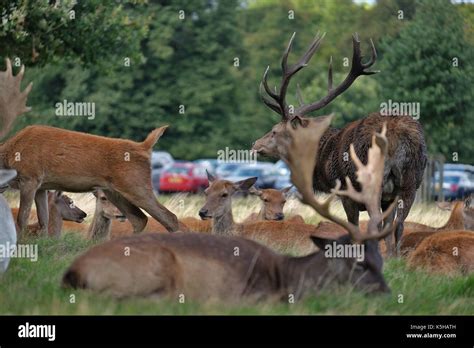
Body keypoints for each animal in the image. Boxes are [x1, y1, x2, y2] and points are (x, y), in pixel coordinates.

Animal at [0, 58, 181, 237]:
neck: (10, 154)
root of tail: (145, 146)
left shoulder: (30, 177)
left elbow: (21, 220)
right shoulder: (42, 186)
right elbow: (43, 222)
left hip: (136, 184)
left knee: (170, 218)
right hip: (114, 191)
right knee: (139, 219)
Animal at [252, 32, 426, 256]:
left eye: (275, 130)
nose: (255, 144)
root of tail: (398, 138)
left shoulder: (346, 193)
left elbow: (355, 228)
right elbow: (390, 228)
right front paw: (392, 259)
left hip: (372, 181)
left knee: (377, 222)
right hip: (411, 182)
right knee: (399, 225)